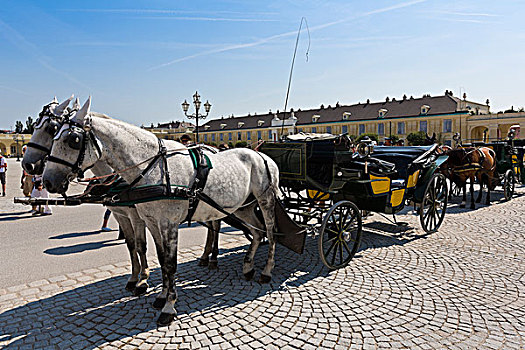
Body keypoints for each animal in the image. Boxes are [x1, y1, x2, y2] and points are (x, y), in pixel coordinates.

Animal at [42, 98, 278, 326]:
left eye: (73, 140)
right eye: (54, 134)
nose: (48, 181)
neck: (153, 168)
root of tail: (261, 155)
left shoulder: (168, 224)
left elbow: (170, 264)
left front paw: (169, 307)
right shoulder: (151, 222)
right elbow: (162, 259)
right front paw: (161, 296)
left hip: (265, 201)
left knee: (270, 232)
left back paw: (266, 271)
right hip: (243, 207)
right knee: (257, 233)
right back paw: (247, 267)